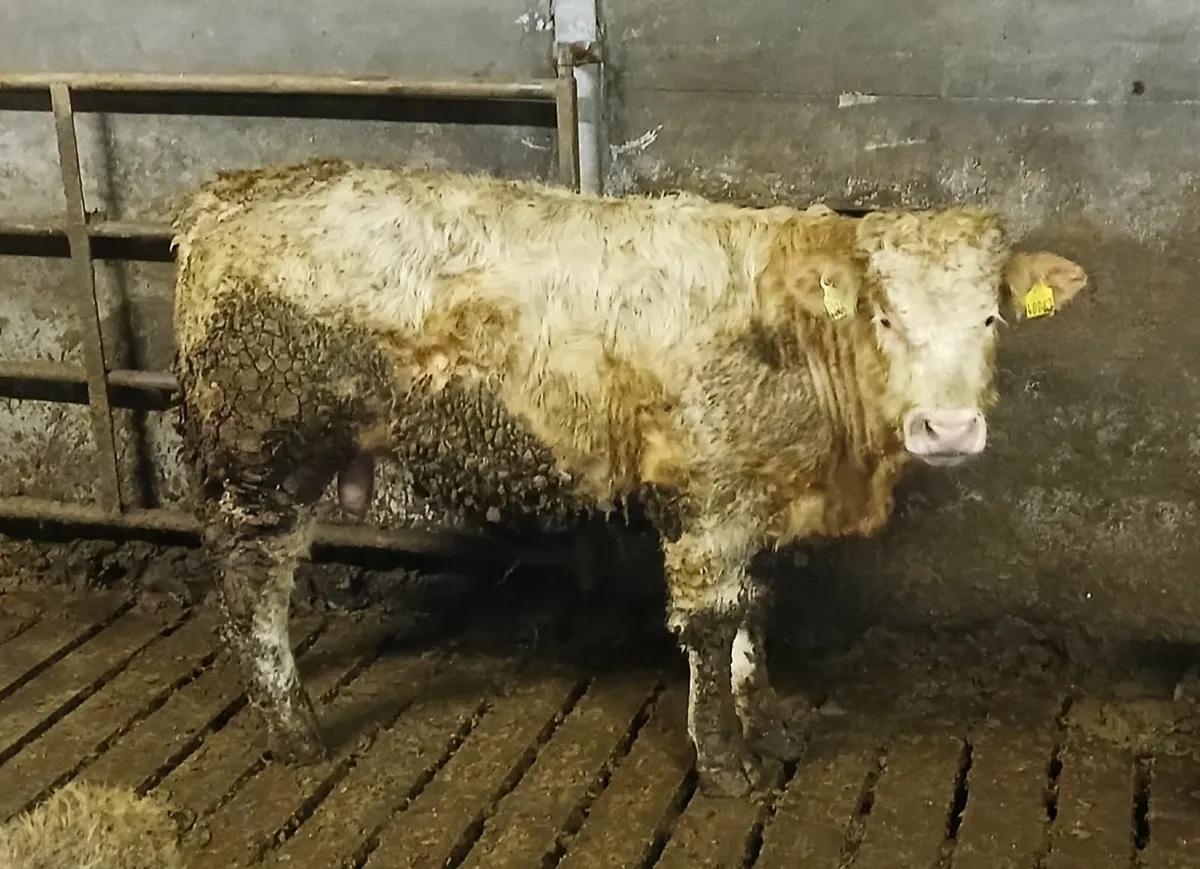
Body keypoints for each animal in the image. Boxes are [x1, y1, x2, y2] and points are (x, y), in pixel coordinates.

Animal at [169, 158, 1089, 798]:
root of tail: (230, 194)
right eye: (884, 317)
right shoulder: (706, 494)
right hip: (263, 450)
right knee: (253, 583)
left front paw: (767, 722)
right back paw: (293, 727)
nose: (949, 428)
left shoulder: (744, 492)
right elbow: (713, 625)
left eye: (991, 316)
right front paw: (724, 761)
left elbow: (752, 608)